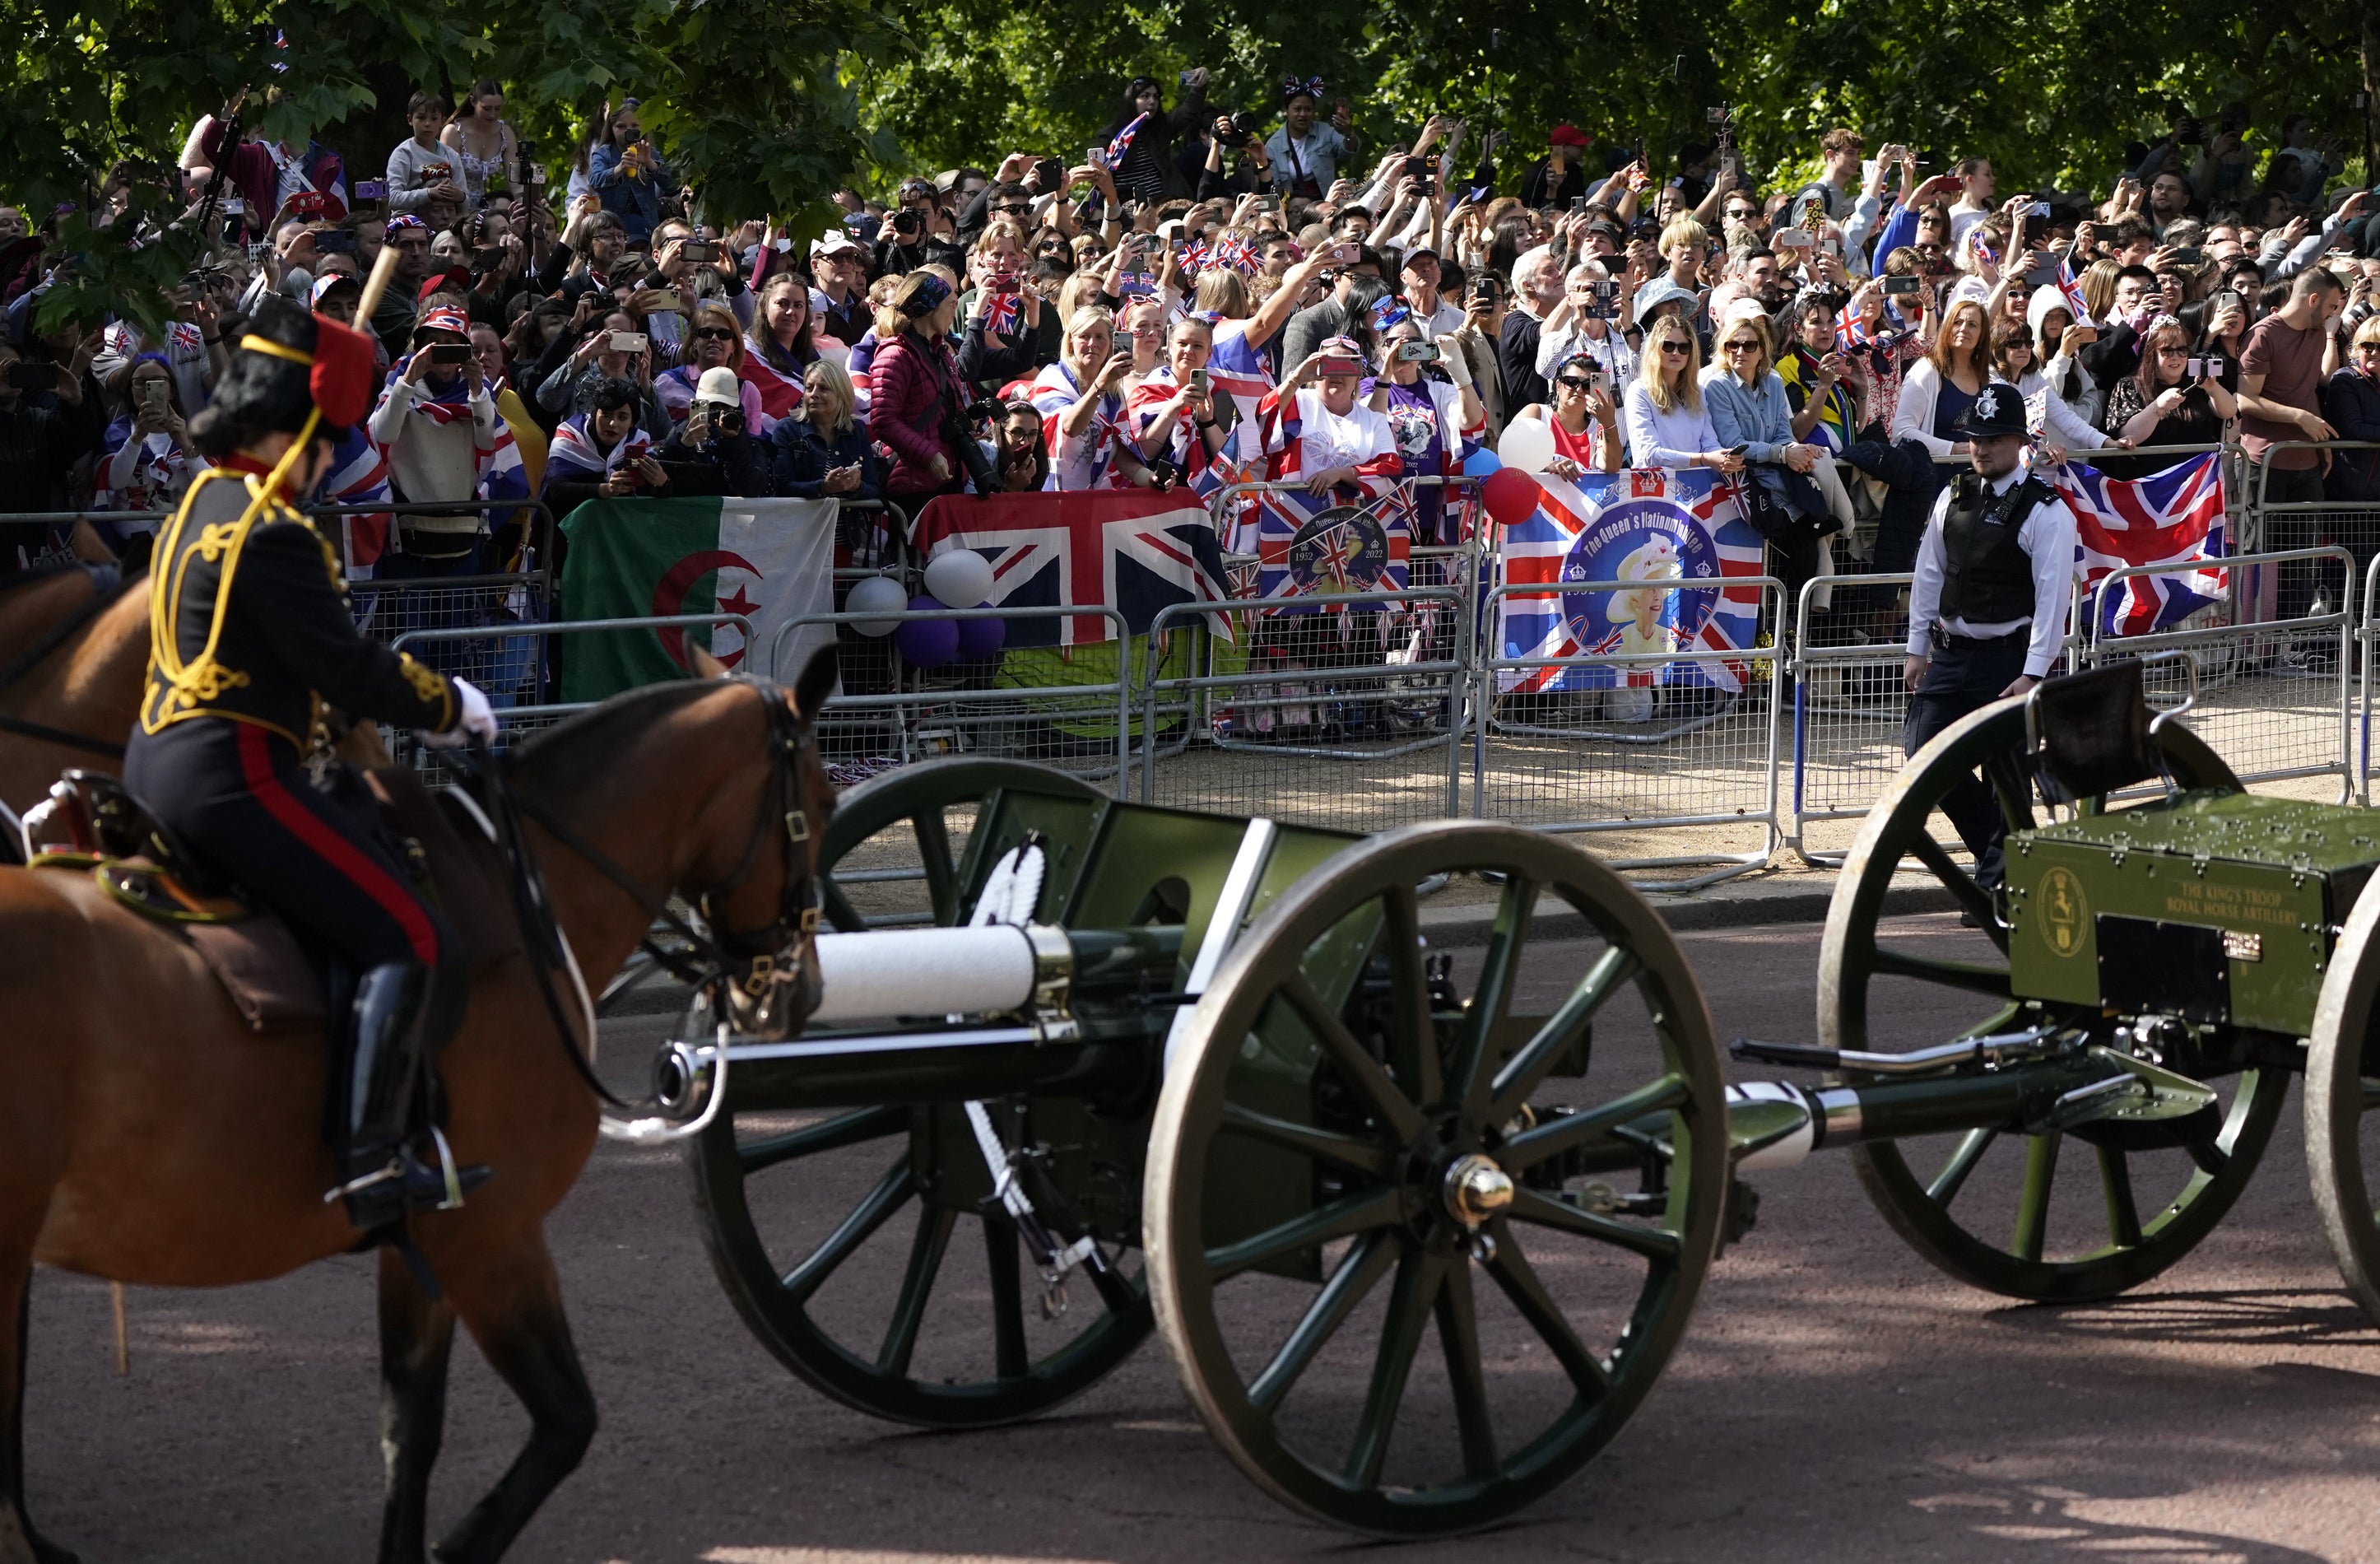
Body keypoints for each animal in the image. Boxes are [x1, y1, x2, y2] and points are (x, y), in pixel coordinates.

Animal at [0, 647, 837, 1562]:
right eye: (827, 799)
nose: (796, 994)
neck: (520, 896)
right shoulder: (491, 1234)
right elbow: (565, 1419)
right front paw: (457, 1547)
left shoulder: (425, 1246)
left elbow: (410, 1428)